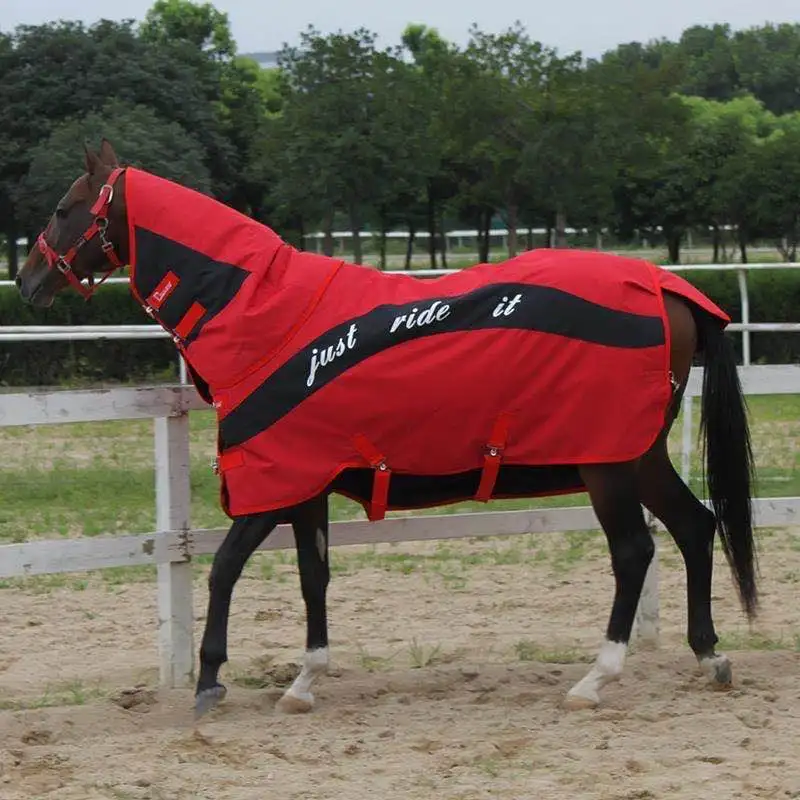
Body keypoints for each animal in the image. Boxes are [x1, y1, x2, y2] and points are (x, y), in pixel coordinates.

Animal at [16, 139, 759, 719]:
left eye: (63, 209)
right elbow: (313, 574)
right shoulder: (305, 487)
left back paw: (595, 679)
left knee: (635, 552)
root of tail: (668, 287)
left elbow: (224, 569)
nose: (26, 281)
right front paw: (304, 679)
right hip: (638, 454)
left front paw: (208, 680)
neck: (271, 317)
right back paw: (709, 656)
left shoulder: (274, 484)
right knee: (695, 527)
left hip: (607, 462)